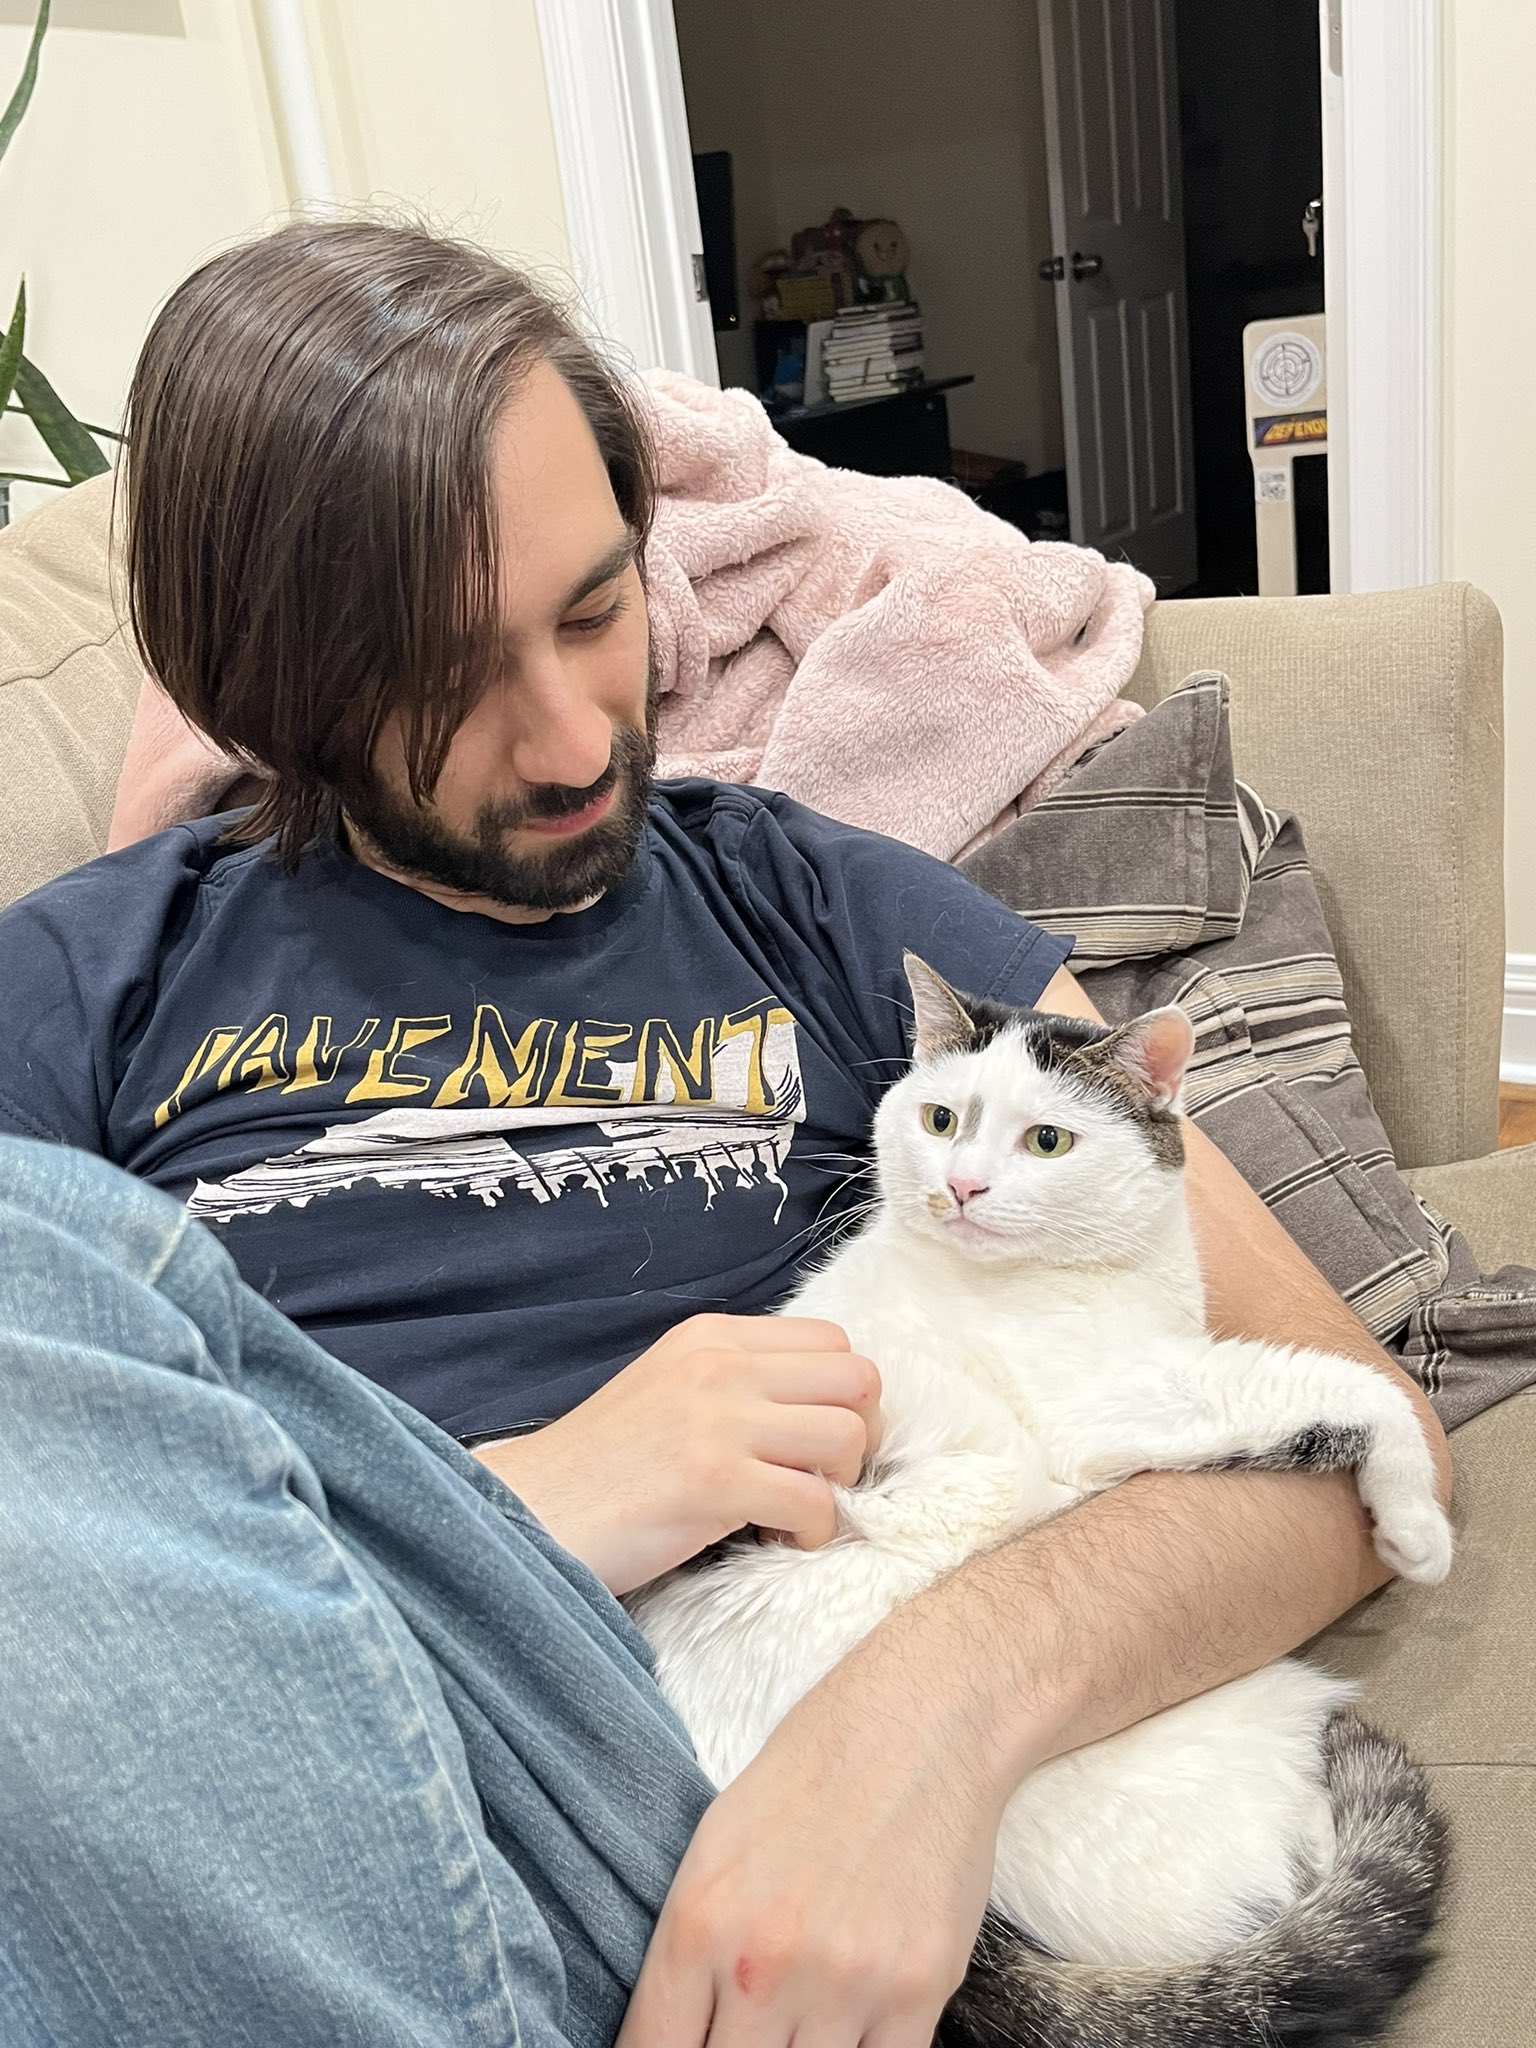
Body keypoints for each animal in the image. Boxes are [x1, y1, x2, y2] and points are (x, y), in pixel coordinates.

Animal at [626, 958, 1458, 2048]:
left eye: (1048, 1140)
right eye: (941, 1118)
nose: (961, 1184)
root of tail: (987, 1955)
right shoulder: (1128, 1396)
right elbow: (1351, 1385)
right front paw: (1418, 1527)